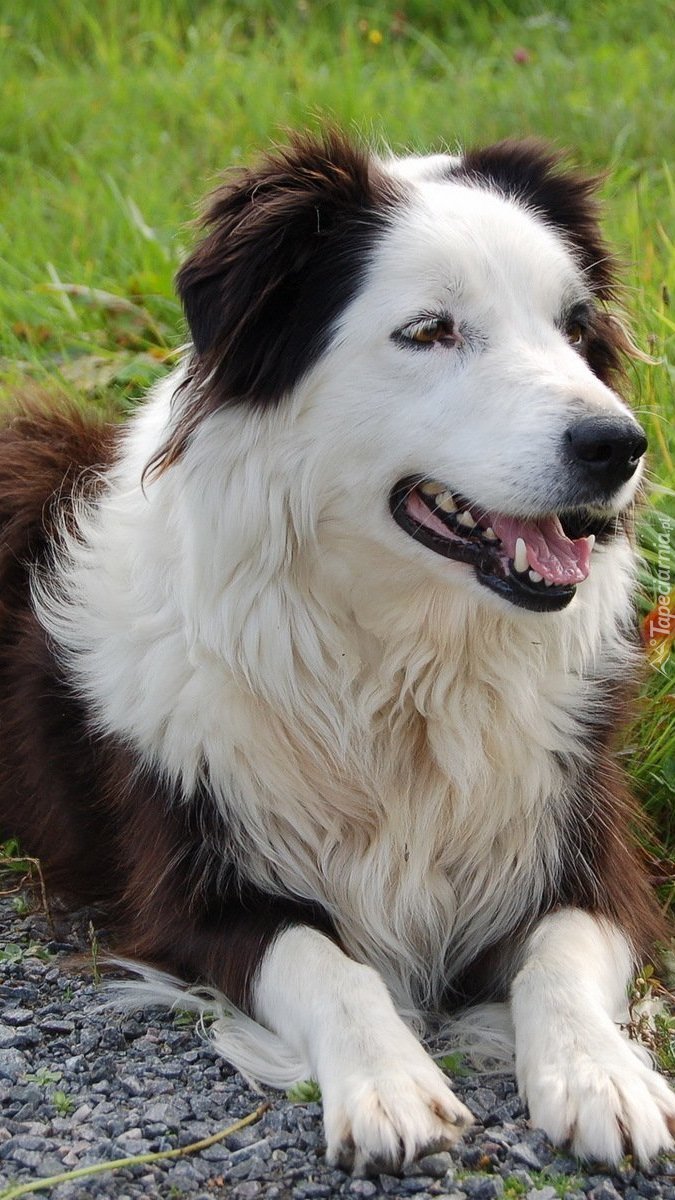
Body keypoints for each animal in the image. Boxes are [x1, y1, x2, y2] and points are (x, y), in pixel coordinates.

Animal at [1, 131, 672, 1171]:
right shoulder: (189, 889)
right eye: (429, 331)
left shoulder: (584, 842)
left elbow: (558, 956)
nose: (619, 444)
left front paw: (600, 1074)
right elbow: (326, 963)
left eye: (574, 325)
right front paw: (389, 1081)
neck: (403, 667)